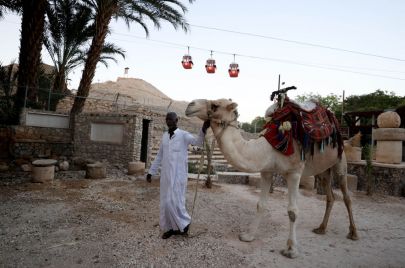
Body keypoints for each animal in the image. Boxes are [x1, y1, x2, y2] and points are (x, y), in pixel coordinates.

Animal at [185, 98, 358, 258]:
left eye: (215, 105)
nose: (190, 105)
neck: (268, 149)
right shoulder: (266, 171)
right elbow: (260, 205)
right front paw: (248, 236)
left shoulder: (294, 172)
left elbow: (293, 211)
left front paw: (291, 250)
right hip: (323, 170)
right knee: (330, 196)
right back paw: (321, 228)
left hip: (340, 160)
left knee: (347, 197)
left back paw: (353, 233)